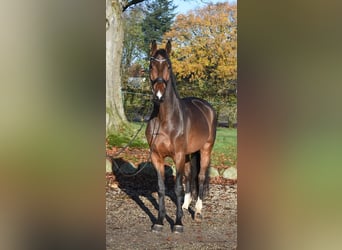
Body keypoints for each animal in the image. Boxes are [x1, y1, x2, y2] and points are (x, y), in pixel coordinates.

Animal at [146, 40, 216, 233]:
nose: (159, 96)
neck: (165, 119)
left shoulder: (177, 156)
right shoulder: (157, 156)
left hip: (205, 150)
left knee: (200, 177)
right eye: (151, 65)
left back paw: (197, 212)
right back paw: (185, 207)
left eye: (168, 66)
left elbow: (177, 187)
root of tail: (206, 107)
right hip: (188, 155)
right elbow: (161, 188)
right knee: (189, 178)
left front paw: (177, 223)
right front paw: (159, 221)